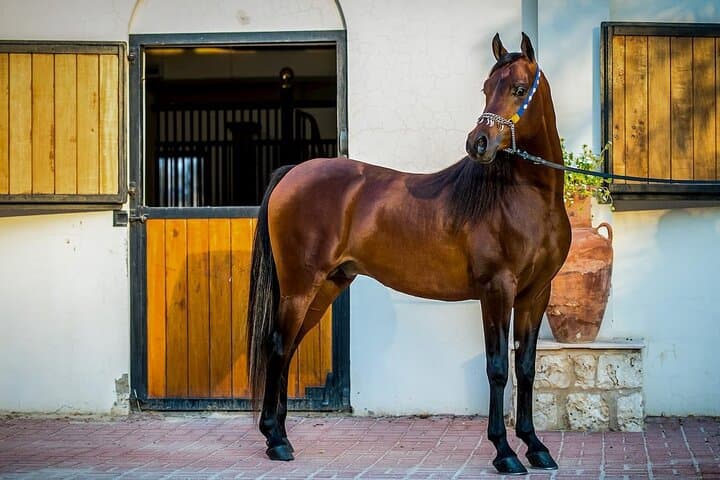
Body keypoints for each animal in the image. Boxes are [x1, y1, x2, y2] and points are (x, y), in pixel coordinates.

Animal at [246, 32, 571, 475]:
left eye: (519, 89)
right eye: (487, 88)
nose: (478, 144)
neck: (525, 198)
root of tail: (293, 172)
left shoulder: (535, 295)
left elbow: (526, 368)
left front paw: (535, 446)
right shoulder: (496, 290)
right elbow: (498, 368)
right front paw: (504, 452)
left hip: (325, 287)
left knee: (289, 347)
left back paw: (278, 434)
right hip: (300, 287)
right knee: (278, 347)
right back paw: (276, 441)